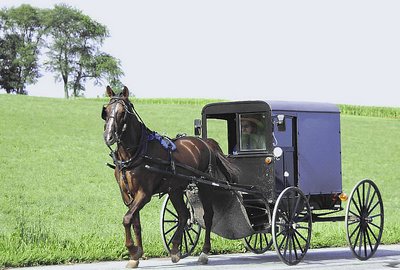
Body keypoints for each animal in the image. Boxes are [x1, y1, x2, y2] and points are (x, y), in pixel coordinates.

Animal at [101, 85, 239, 266]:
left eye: (122, 112)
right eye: (106, 110)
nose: (108, 136)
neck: (136, 153)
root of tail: (206, 143)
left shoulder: (144, 194)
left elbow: (126, 219)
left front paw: (132, 249)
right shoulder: (127, 195)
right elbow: (134, 222)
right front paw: (136, 255)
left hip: (204, 185)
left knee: (207, 215)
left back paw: (204, 252)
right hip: (175, 189)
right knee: (183, 215)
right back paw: (174, 249)